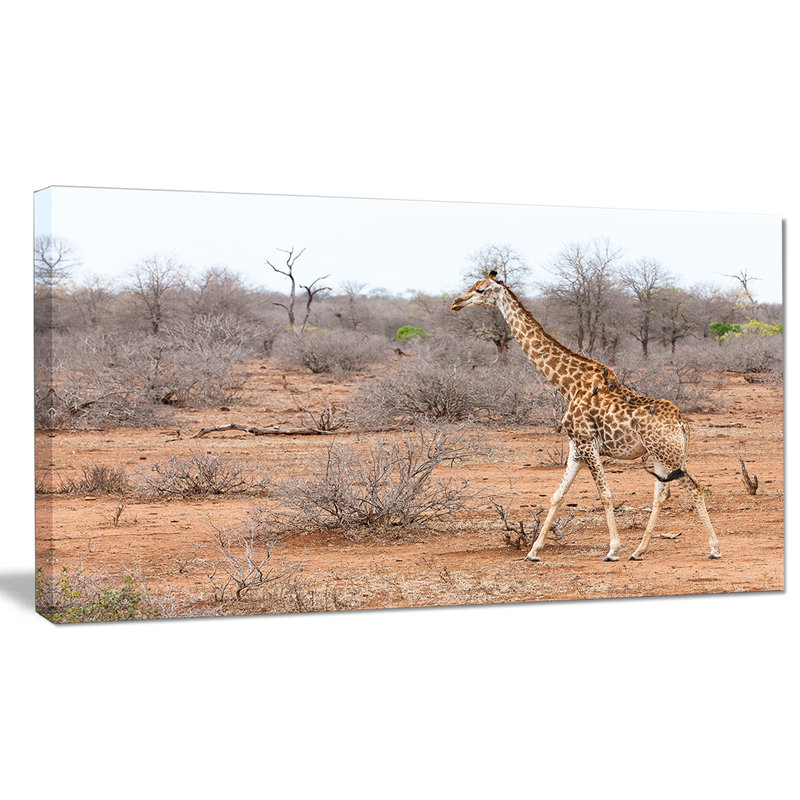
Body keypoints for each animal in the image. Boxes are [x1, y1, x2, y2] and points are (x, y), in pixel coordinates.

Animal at [451, 271, 721, 562]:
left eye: (480, 290)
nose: (456, 302)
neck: (568, 384)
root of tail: (682, 423)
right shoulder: (576, 447)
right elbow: (557, 495)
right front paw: (533, 551)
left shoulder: (587, 442)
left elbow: (605, 493)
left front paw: (612, 550)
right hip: (661, 455)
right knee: (662, 493)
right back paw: (639, 551)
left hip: (668, 454)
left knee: (694, 488)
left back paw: (714, 548)